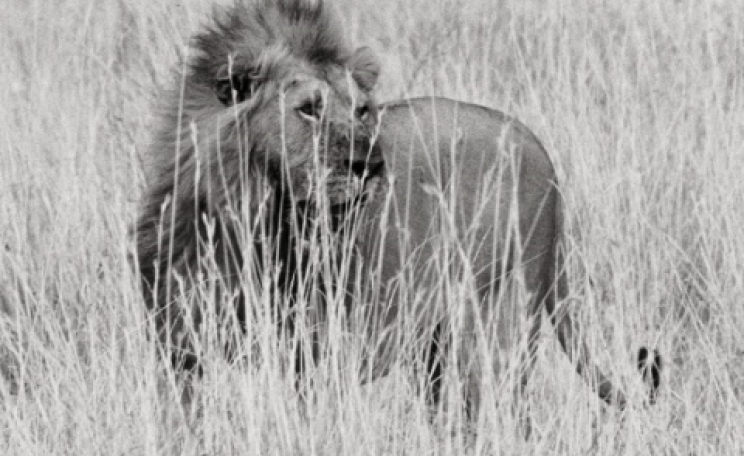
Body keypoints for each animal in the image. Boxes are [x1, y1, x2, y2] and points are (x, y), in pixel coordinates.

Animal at [133, 0, 660, 425]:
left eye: (362, 111)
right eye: (308, 108)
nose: (369, 164)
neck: (250, 218)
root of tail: (540, 152)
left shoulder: (315, 356)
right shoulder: (180, 353)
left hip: (495, 318)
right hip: (436, 347)